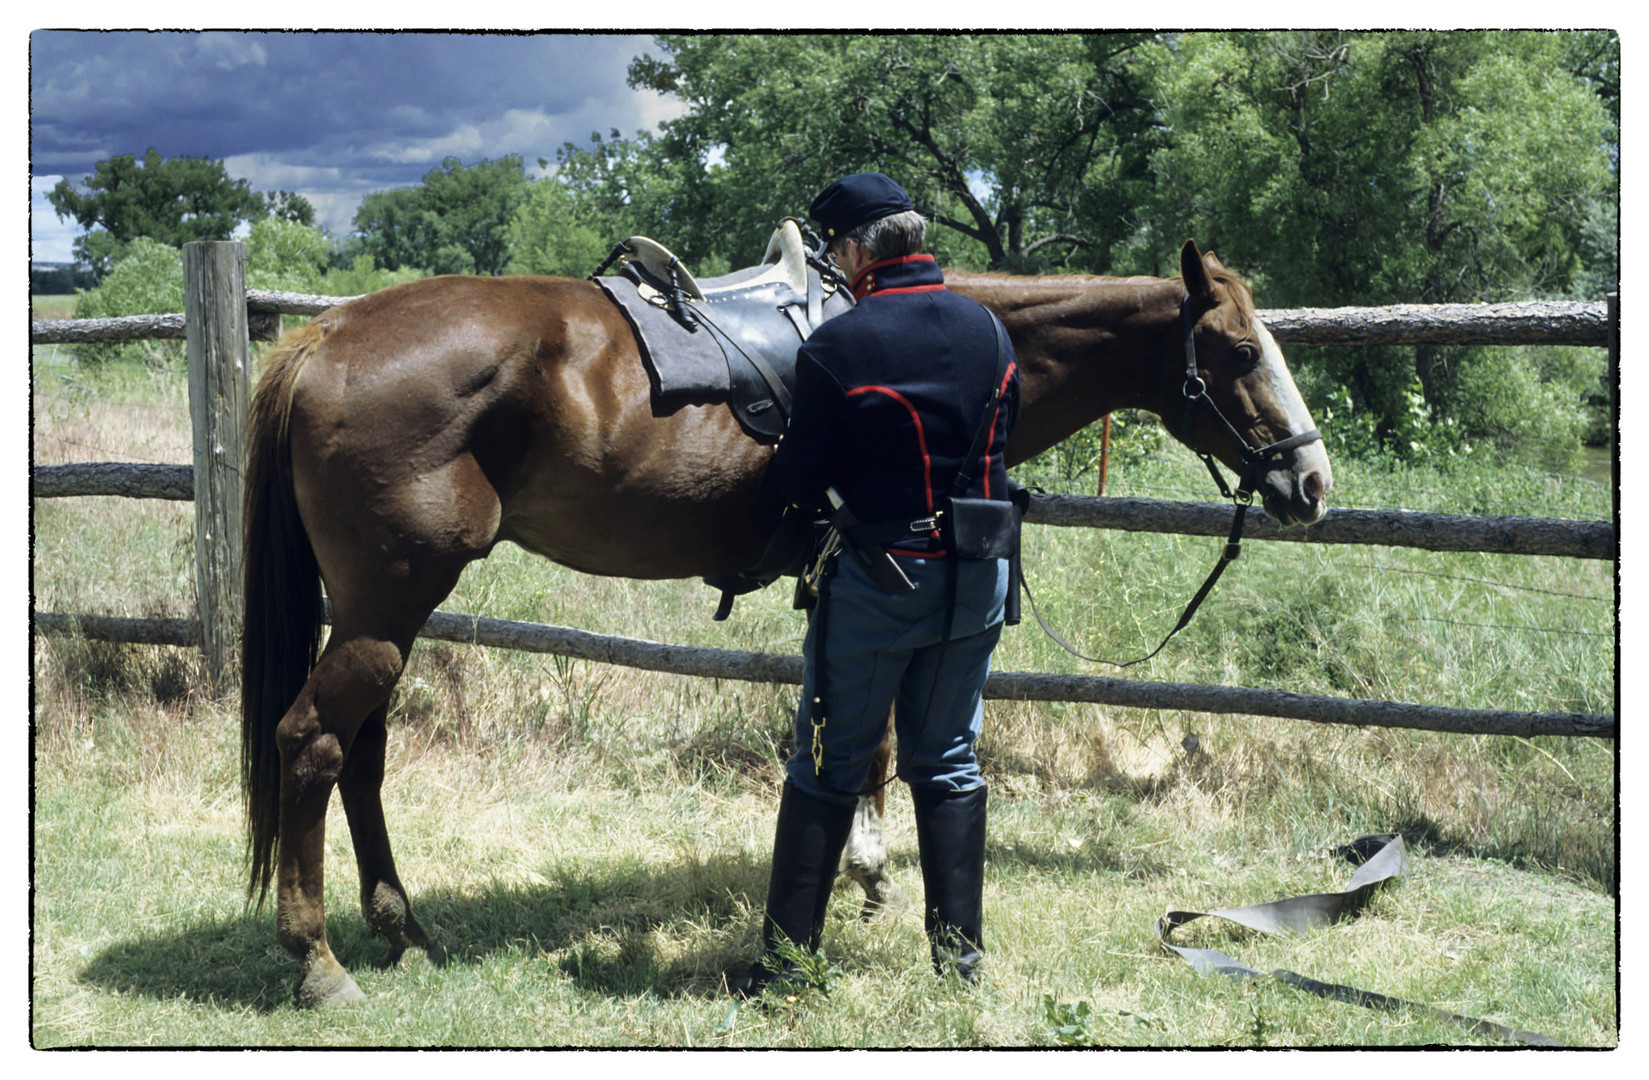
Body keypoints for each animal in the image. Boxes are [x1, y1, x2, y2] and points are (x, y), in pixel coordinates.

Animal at [240, 237, 1325, 1002]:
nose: (1310, 483)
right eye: (1237, 349)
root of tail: (322, 340)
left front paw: (864, 868)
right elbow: (865, 742)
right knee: (311, 743)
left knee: (362, 756)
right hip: (389, 603)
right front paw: (872, 875)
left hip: (383, 610)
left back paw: (404, 933)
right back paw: (318, 962)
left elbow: (855, 739)